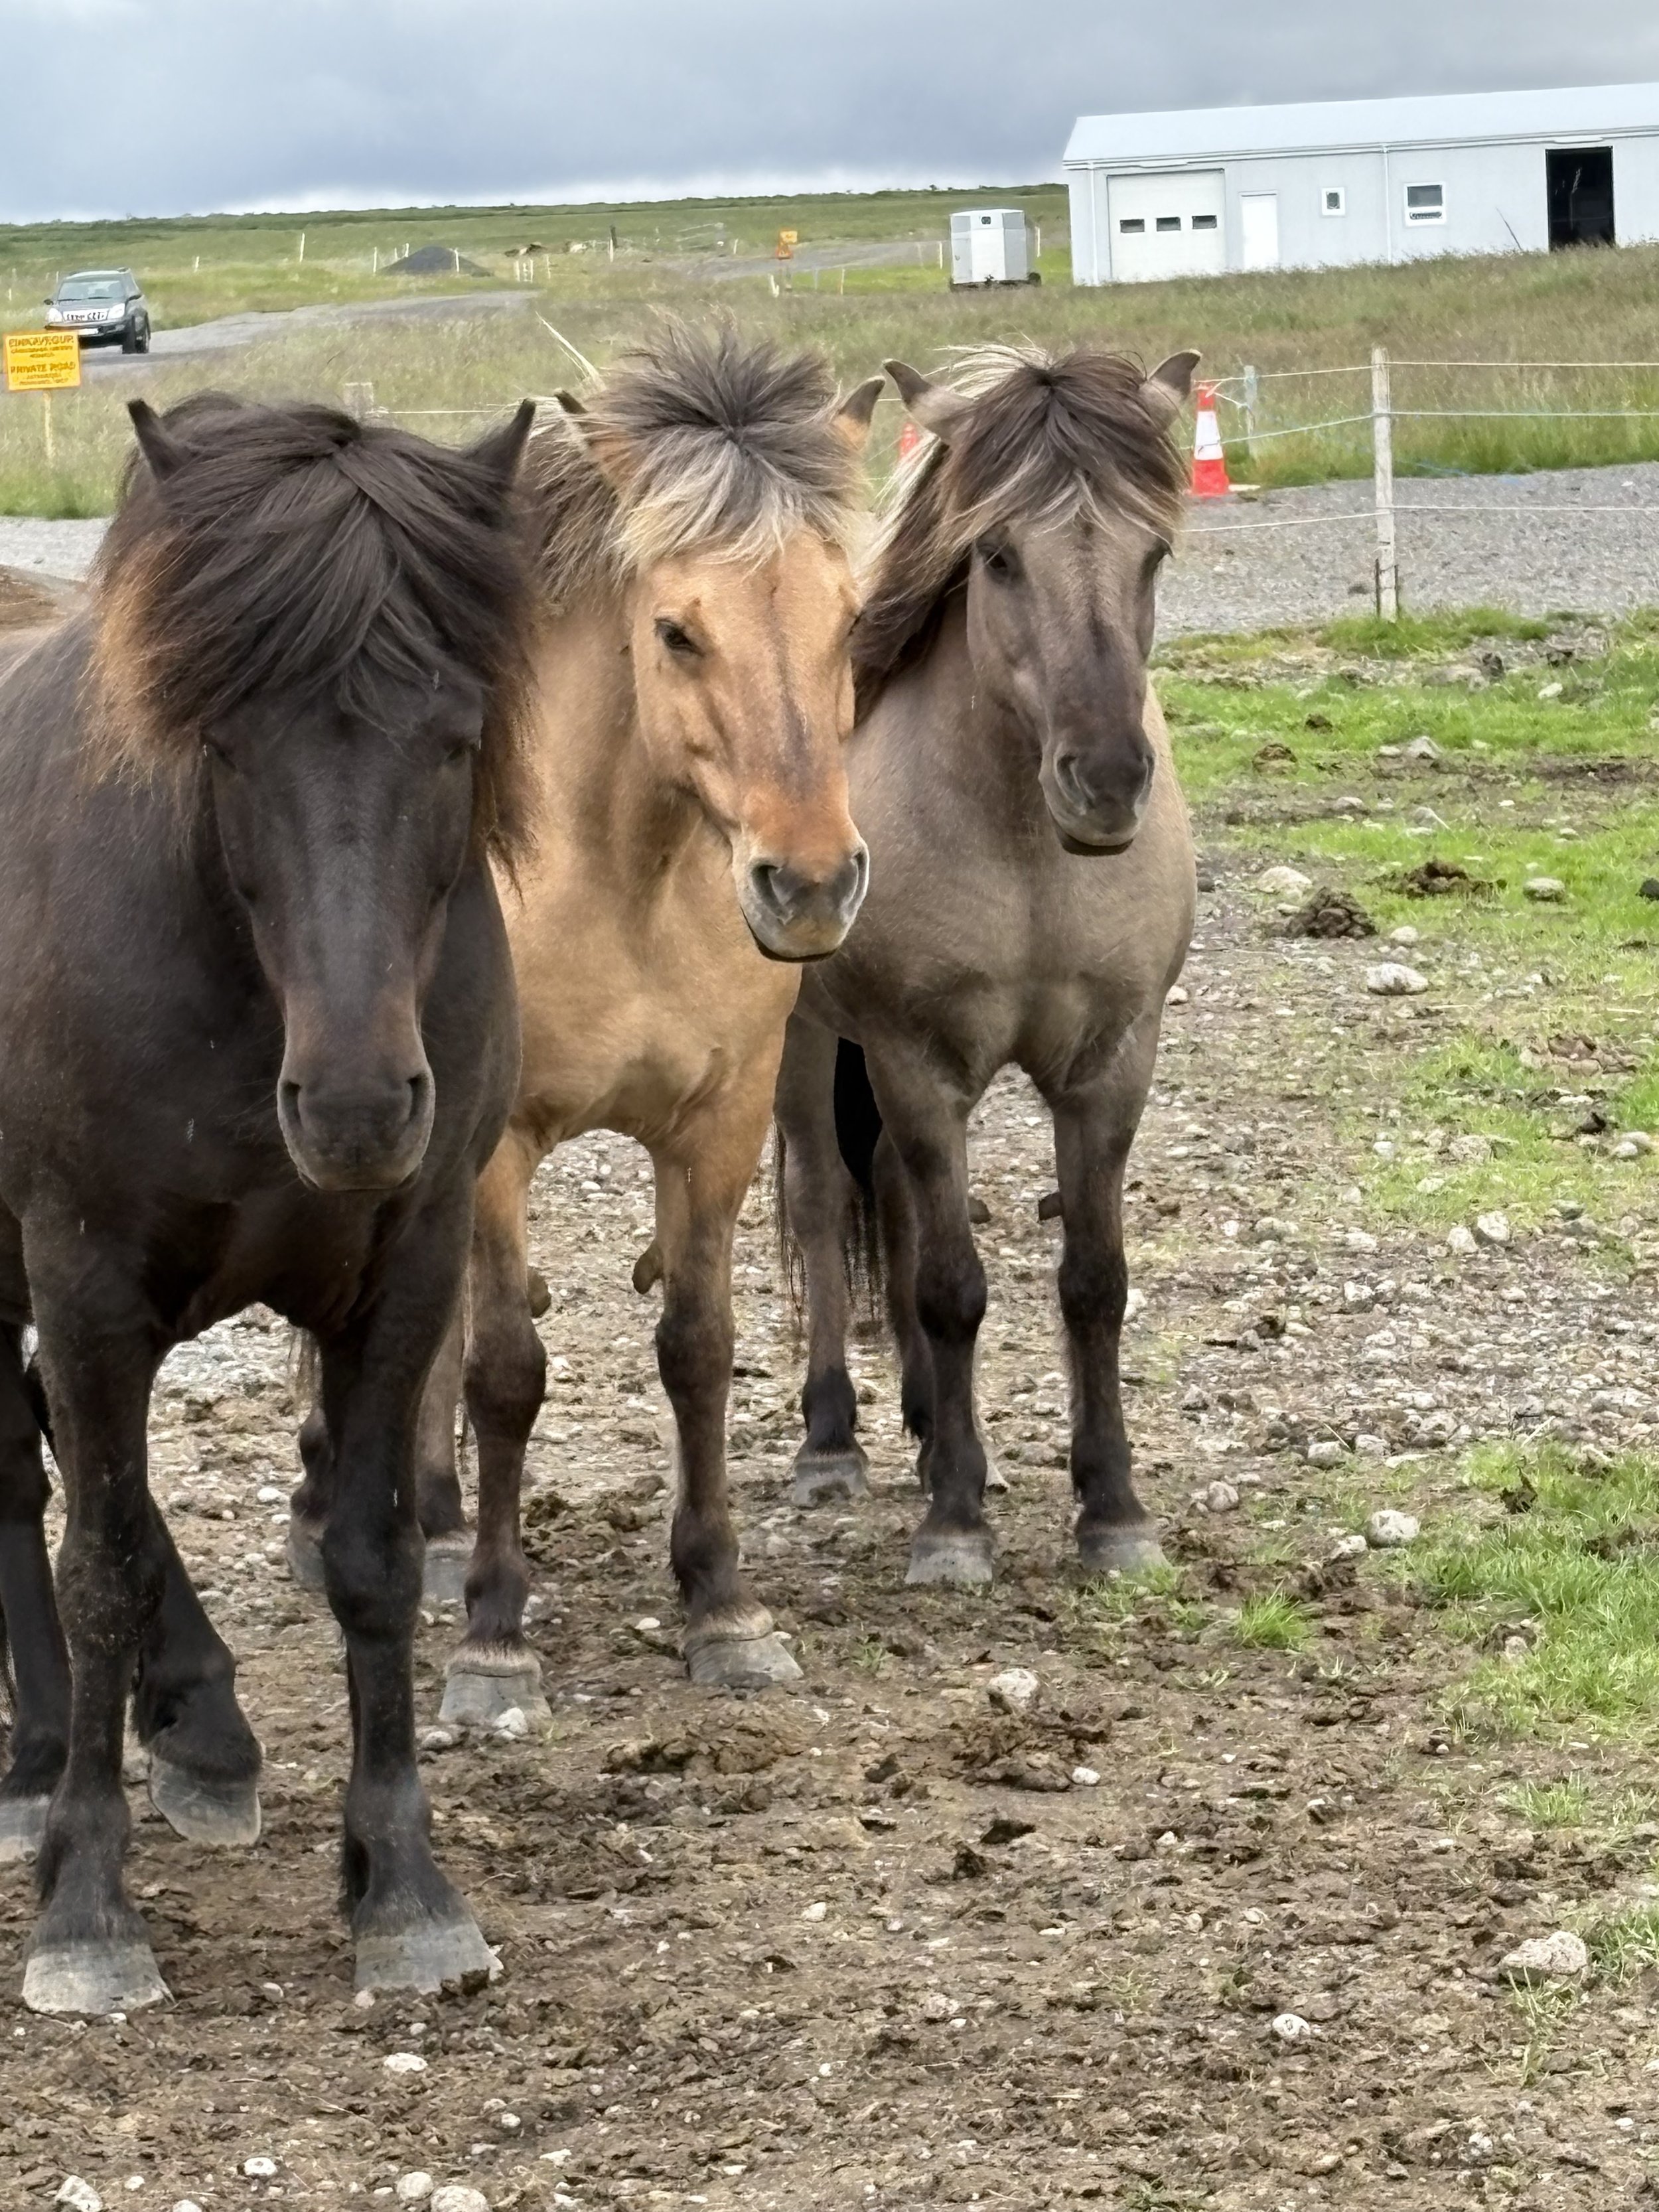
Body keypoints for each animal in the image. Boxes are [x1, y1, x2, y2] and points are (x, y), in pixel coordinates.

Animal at [0, 389, 536, 2014]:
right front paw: (87, 1907)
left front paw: (402, 1884)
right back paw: (44, 1761)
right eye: (225, 743)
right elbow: (99, 1563)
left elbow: (372, 1559)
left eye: (456, 737)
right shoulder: (84, 1276)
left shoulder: (407, 1268)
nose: (357, 1105)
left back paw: (201, 1725)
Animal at [287, 326, 882, 1718]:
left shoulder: (717, 1126)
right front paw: (494, 1636)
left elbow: (699, 1346)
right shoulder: (492, 1143)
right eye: (675, 630)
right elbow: (506, 1368)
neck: (625, 875)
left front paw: (722, 1602)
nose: (809, 883)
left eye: (851, 618)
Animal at [774, 343, 1199, 1587]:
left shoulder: (1112, 1065)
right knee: (826, 1201)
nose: (1105, 781)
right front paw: (956, 1523)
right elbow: (953, 1285)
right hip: (807, 1040)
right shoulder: (921, 1064)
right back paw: (836, 1440)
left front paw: (1113, 1509)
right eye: (998, 554)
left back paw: (925, 1422)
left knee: (894, 1203)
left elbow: (1094, 1281)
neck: (1024, 851)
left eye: (1155, 550)